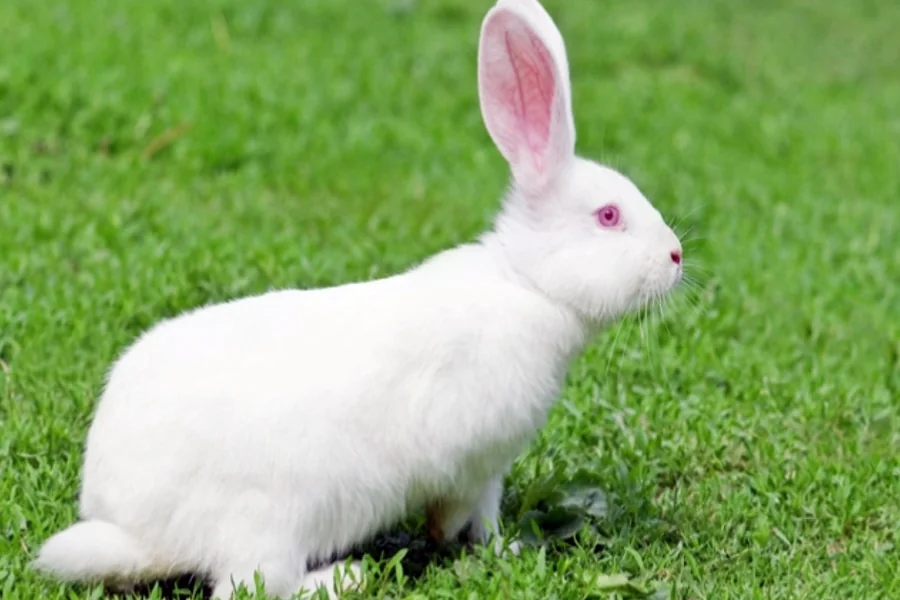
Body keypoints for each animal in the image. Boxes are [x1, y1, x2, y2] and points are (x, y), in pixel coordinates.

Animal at [32, 0, 684, 598]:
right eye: (609, 216)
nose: (677, 256)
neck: (528, 282)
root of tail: (135, 529)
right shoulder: (476, 465)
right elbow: (474, 516)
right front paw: (501, 549)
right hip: (273, 519)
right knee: (255, 586)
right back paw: (345, 575)